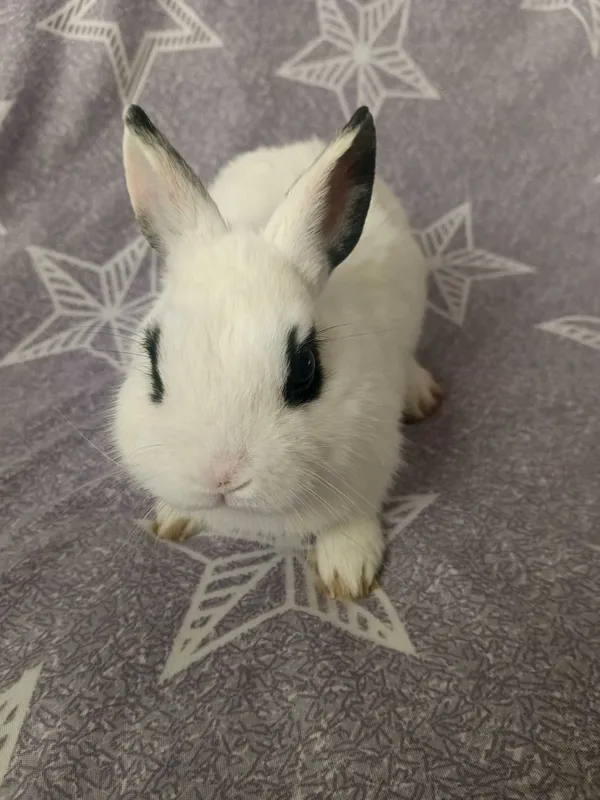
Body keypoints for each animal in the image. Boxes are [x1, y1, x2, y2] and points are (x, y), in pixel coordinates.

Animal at [113, 103, 441, 600]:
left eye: (305, 368)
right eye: (153, 362)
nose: (221, 477)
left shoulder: (370, 458)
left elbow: (352, 516)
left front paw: (347, 572)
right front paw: (172, 519)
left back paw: (423, 397)